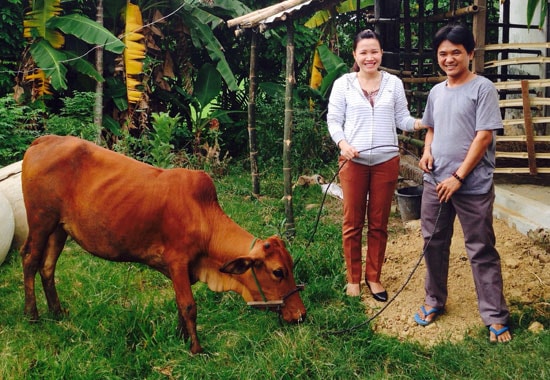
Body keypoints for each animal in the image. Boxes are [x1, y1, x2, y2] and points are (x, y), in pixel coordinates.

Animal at [21, 134, 306, 354]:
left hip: (59, 228)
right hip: (41, 221)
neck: (204, 216)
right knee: (30, 260)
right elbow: (189, 306)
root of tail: (43, 140)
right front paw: (196, 349)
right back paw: (33, 315)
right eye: (278, 272)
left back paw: (57, 312)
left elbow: (180, 304)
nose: (301, 314)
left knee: (48, 266)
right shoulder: (178, 261)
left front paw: (180, 338)